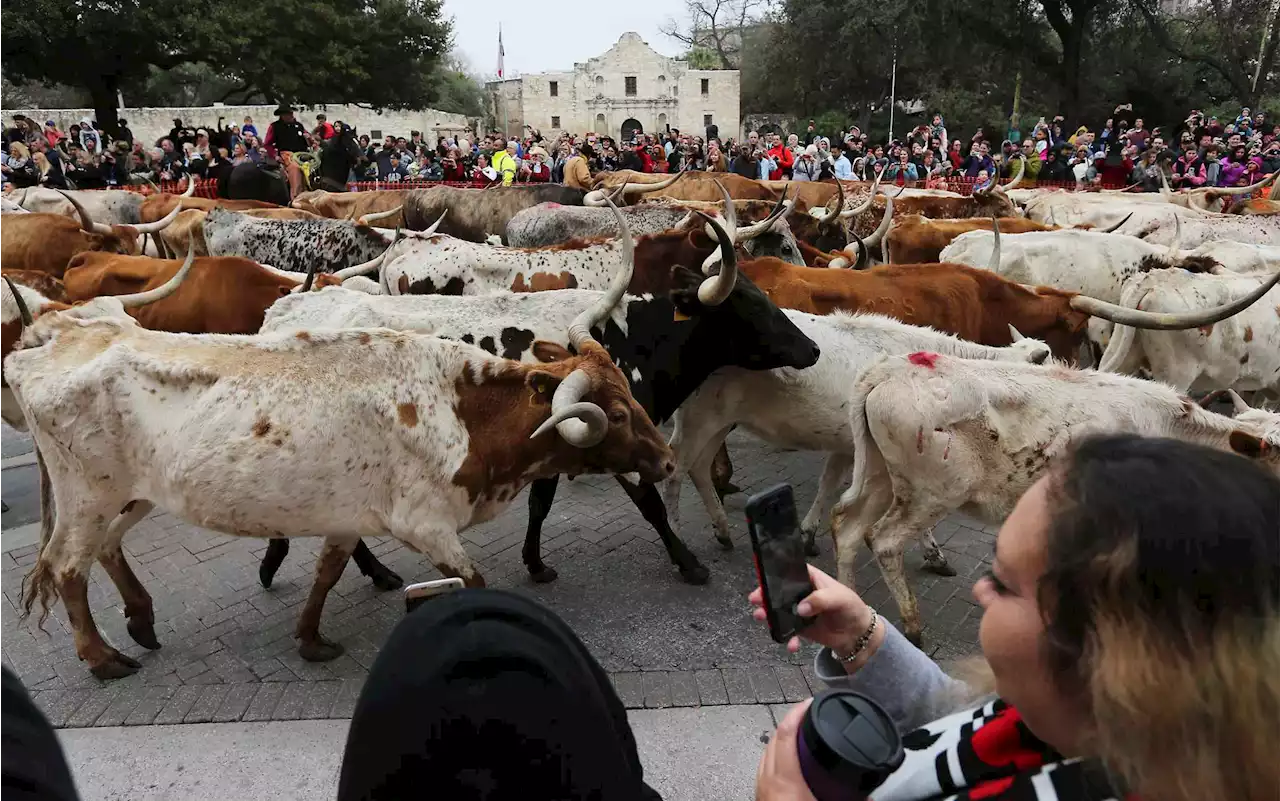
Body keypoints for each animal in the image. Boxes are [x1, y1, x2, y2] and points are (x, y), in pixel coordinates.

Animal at [834, 353, 1280, 639]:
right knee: (883, 540)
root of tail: (890, 369)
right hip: (932, 491)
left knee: (847, 528)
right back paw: (912, 629)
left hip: (881, 477)